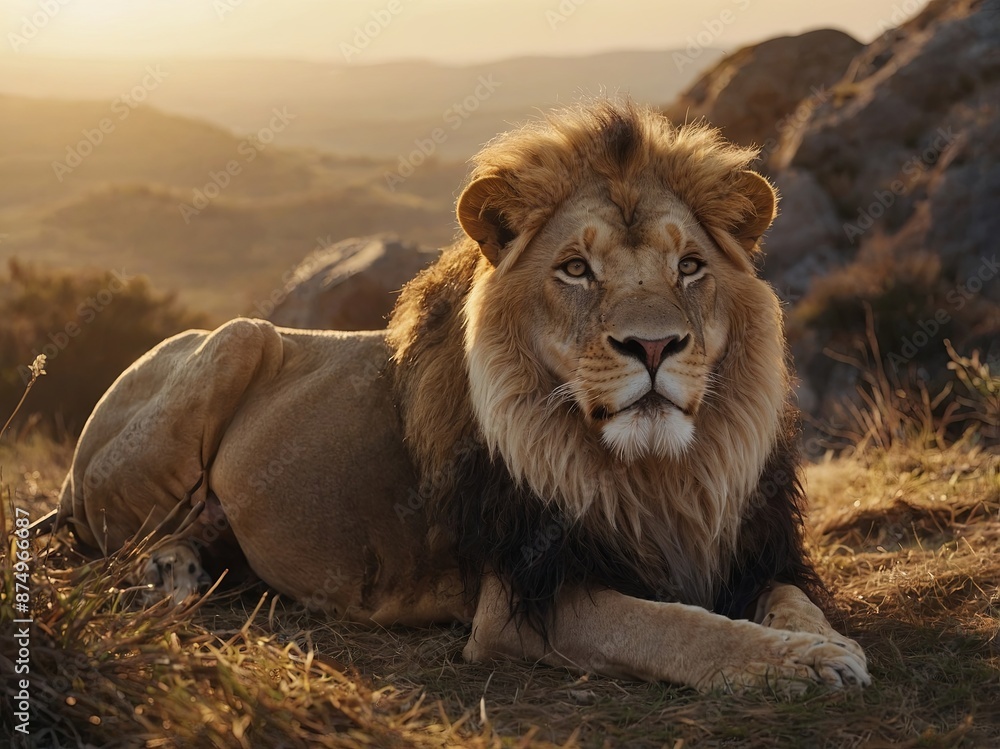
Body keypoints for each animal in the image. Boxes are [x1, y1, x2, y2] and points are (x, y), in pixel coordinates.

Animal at [55, 101, 869, 693]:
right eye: (576, 269)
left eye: (690, 266)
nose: (654, 347)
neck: (658, 475)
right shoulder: (520, 603)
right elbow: (676, 626)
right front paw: (802, 662)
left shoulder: (747, 551)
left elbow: (793, 598)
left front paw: (823, 639)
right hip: (235, 340)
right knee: (112, 541)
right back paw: (169, 575)